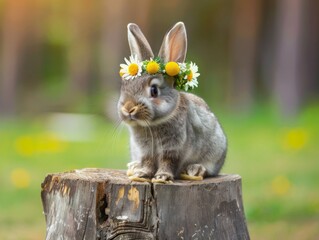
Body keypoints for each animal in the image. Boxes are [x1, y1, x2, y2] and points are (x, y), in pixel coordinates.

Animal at [118, 23, 228, 184]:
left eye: (154, 90)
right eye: (124, 86)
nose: (128, 108)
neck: (154, 124)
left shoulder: (174, 149)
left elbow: (168, 162)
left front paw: (162, 177)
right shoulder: (146, 151)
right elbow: (148, 162)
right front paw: (141, 174)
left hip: (215, 151)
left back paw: (195, 169)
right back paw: (134, 166)